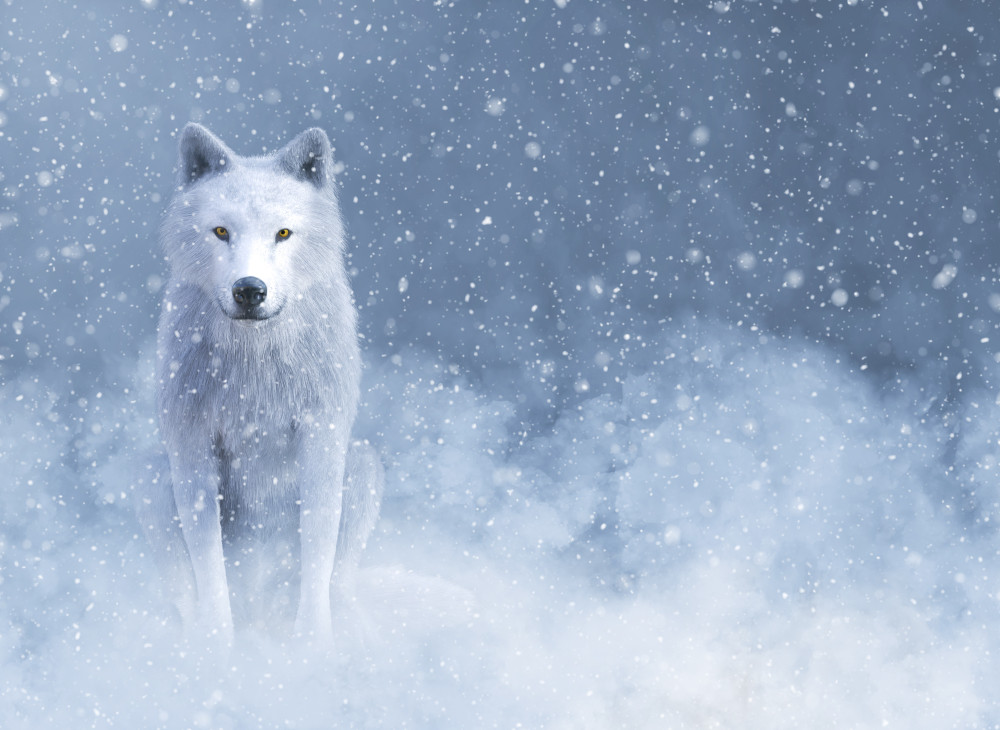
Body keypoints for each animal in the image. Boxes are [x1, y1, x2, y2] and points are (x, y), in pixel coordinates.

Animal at [137, 123, 383, 644]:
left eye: (283, 233)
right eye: (221, 231)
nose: (250, 290)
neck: (255, 366)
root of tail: (261, 608)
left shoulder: (322, 439)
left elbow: (318, 550)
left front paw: (312, 646)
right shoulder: (191, 446)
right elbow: (208, 564)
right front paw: (216, 649)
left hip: (363, 464)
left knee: (338, 580)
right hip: (147, 475)